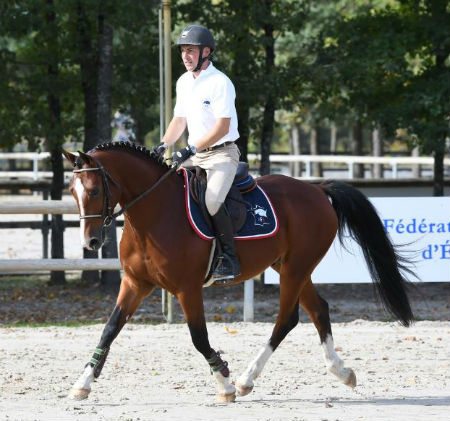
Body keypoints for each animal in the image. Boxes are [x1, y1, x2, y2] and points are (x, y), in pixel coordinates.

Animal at [61, 143, 414, 402]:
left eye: (94, 191)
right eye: (72, 191)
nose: (91, 242)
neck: (154, 213)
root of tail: (317, 190)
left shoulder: (187, 289)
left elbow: (199, 338)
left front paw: (225, 384)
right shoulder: (136, 283)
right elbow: (109, 330)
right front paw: (82, 383)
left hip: (295, 268)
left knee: (287, 319)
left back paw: (246, 379)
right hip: (290, 266)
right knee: (318, 309)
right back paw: (341, 372)